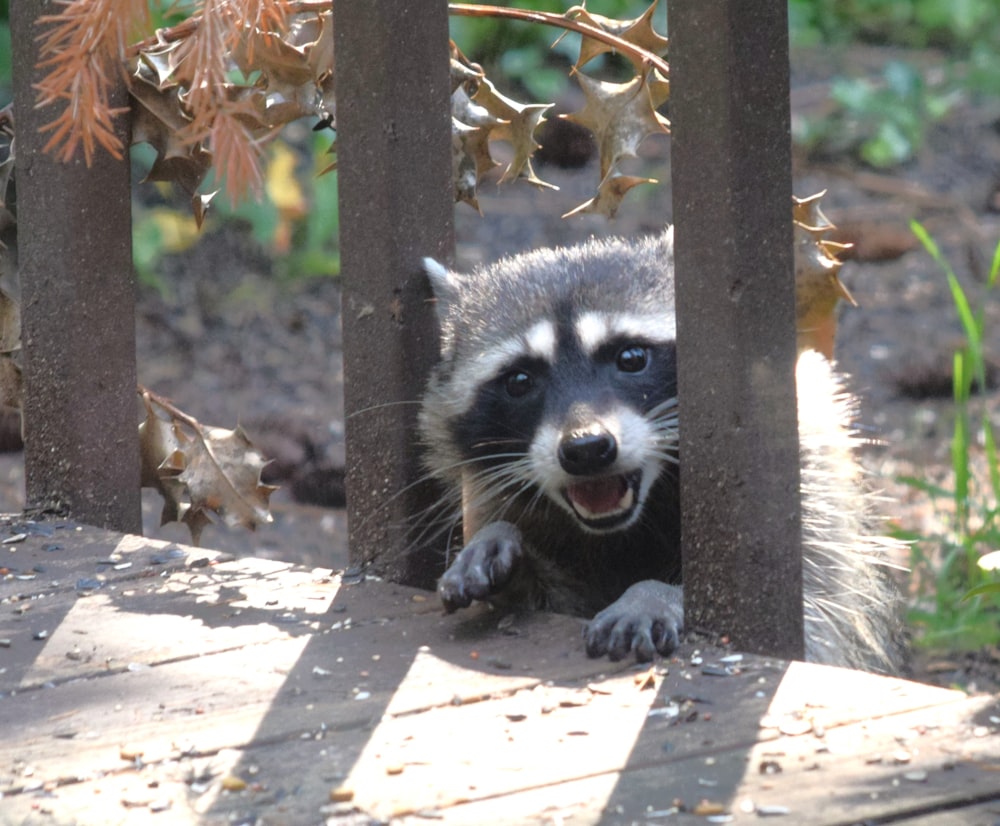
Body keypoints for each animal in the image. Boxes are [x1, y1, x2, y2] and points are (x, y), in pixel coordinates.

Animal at [418, 227, 912, 676]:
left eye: (632, 358)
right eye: (520, 381)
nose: (587, 449)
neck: (625, 527)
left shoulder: (811, 482)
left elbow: (810, 611)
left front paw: (657, 593)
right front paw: (504, 548)